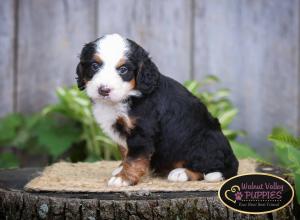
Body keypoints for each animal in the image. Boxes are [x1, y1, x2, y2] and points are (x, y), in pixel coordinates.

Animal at [75, 33, 239, 186]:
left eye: (123, 69)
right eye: (95, 66)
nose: (103, 90)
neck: (128, 95)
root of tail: (232, 158)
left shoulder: (142, 132)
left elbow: (134, 158)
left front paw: (124, 178)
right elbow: (125, 151)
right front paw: (121, 168)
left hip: (203, 141)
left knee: (210, 168)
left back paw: (181, 173)